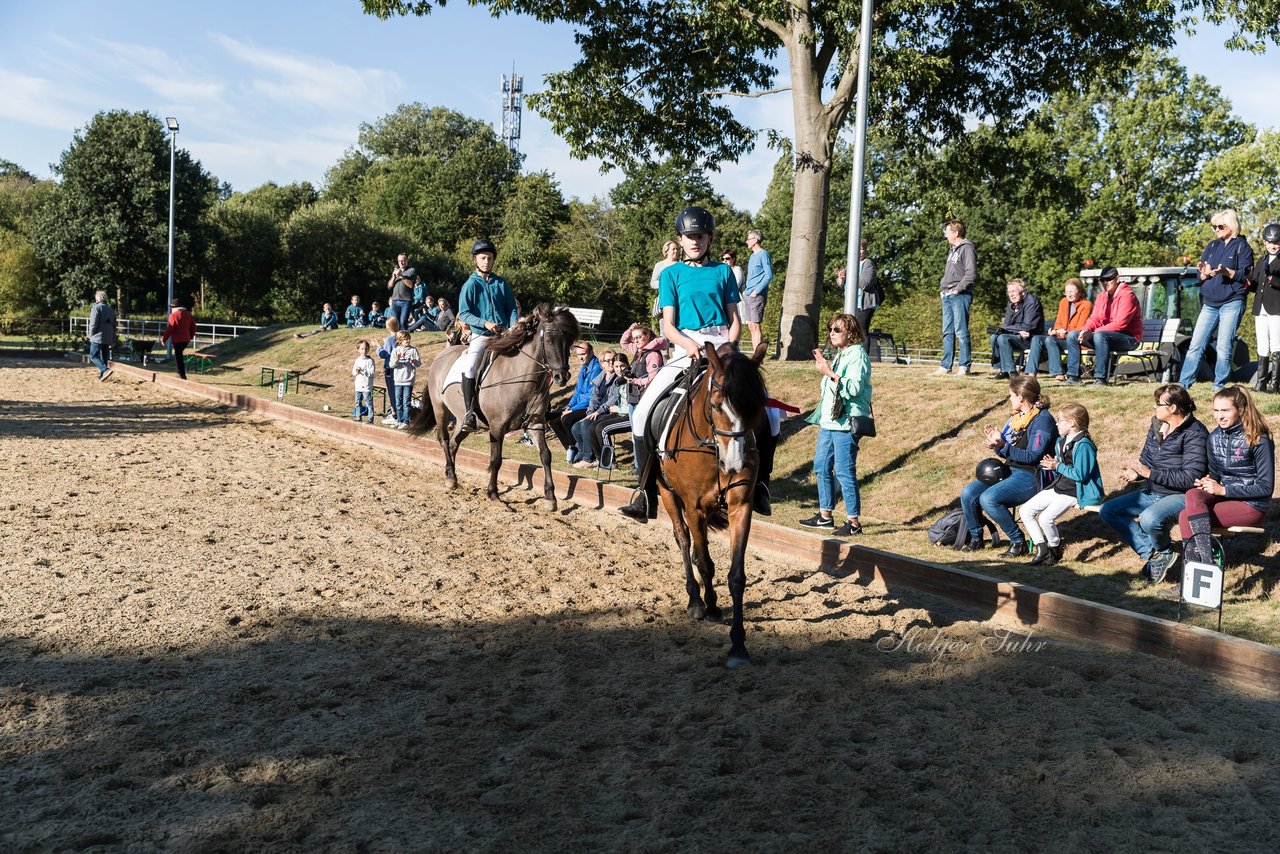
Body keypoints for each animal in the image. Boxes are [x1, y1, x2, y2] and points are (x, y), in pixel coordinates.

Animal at [407, 306, 578, 512]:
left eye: (570, 341)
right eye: (550, 339)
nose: (562, 376)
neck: (522, 379)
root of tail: (442, 355)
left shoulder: (535, 424)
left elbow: (545, 456)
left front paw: (550, 498)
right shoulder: (497, 427)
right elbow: (496, 459)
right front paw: (493, 494)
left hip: (464, 420)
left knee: (454, 443)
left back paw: (452, 476)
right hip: (440, 409)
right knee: (444, 440)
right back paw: (450, 477)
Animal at [655, 340, 762, 665]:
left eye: (755, 409)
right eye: (716, 405)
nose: (735, 465)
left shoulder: (742, 508)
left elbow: (736, 575)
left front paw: (738, 645)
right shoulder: (694, 508)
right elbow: (705, 562)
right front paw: (711, 608)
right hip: (666, 492)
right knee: (683, 539)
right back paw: (695, 600)